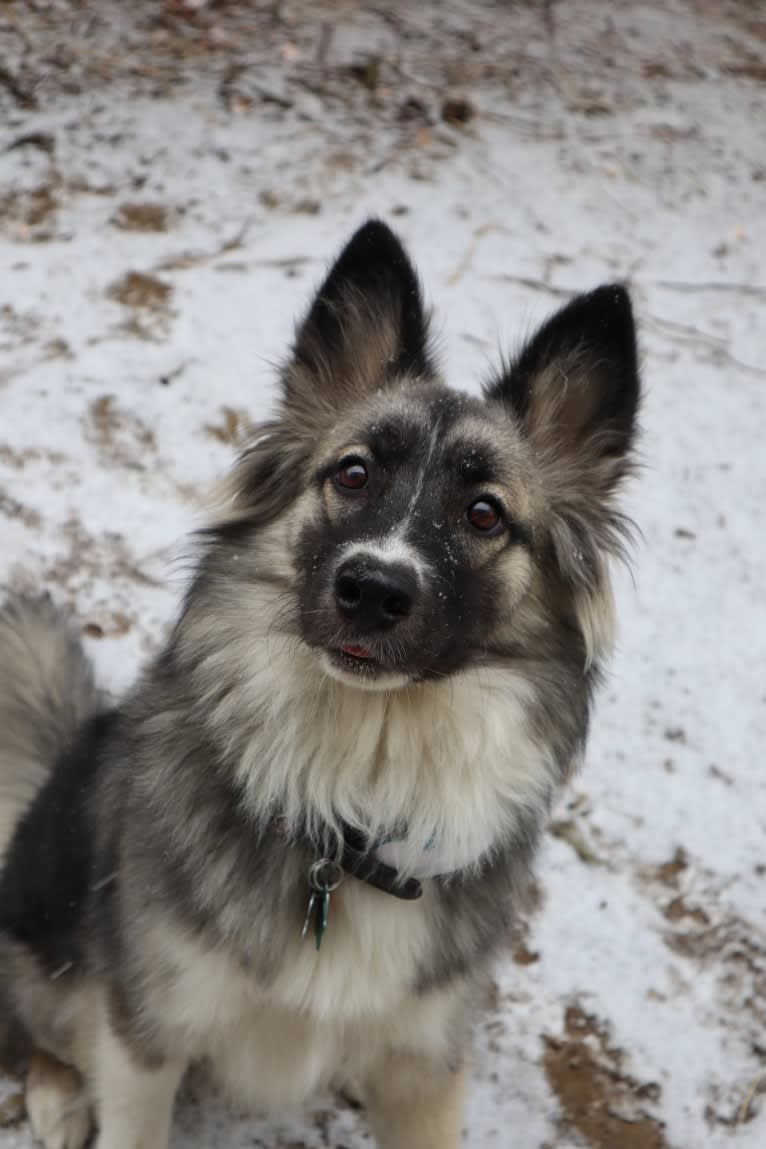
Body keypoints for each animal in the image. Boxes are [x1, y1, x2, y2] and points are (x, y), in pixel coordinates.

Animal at [0, 219, 643, 1144]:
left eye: (485, 512)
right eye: (353, 472)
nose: (372, 589)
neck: (351, 813)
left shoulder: (424, 1060)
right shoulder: (147, 1030)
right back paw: (56, 1093)